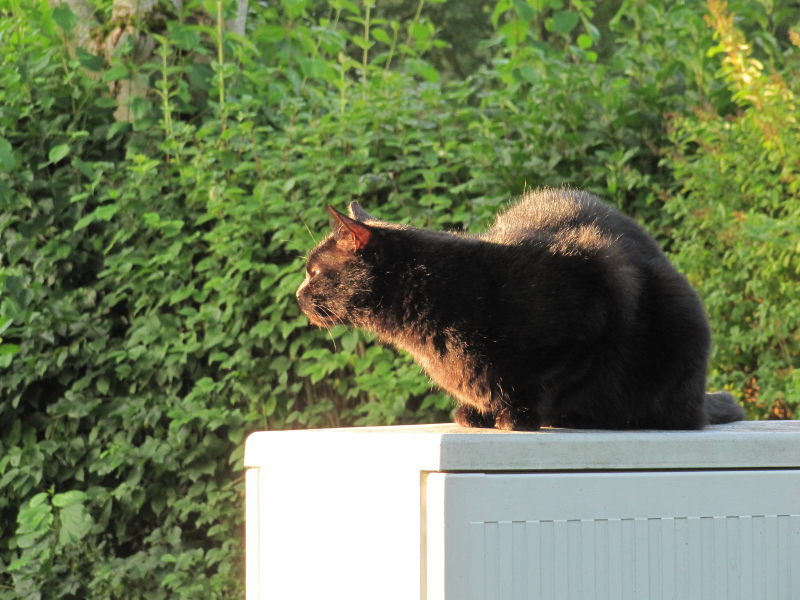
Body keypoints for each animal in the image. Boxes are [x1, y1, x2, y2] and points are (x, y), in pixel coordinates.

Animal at [296, 190, 748, 428]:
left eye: (314, 271)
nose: (298, 295)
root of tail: (699, 399)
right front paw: (477, 414)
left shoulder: (598, 302)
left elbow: (549, 381)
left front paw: (519, 417)